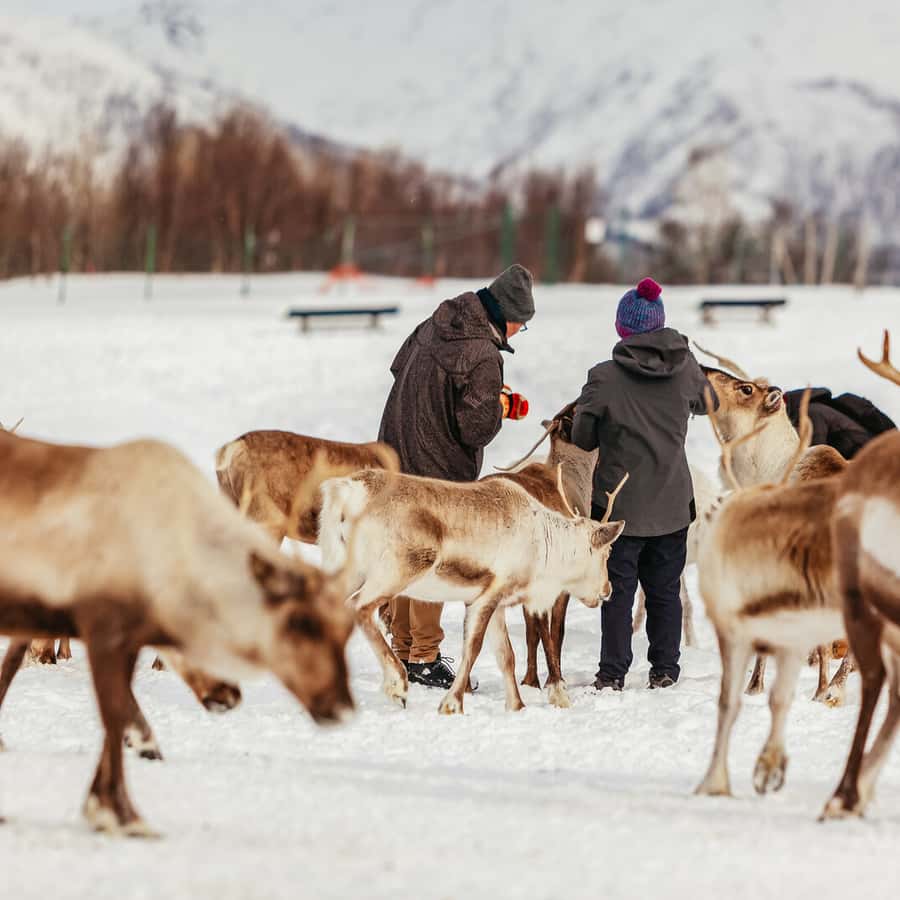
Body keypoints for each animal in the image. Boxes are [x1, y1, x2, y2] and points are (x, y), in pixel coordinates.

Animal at [316, 464, 625, 714]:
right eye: (608, 552)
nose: (608, 589)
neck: (546, 546)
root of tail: (349, 490)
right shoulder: (488, 594)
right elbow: (473, 649)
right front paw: (452, 704)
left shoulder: (496, 602)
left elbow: (506, 656)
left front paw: (517, 706)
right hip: (398, 569)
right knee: (359, 608)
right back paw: (397, 685)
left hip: (347, 569)